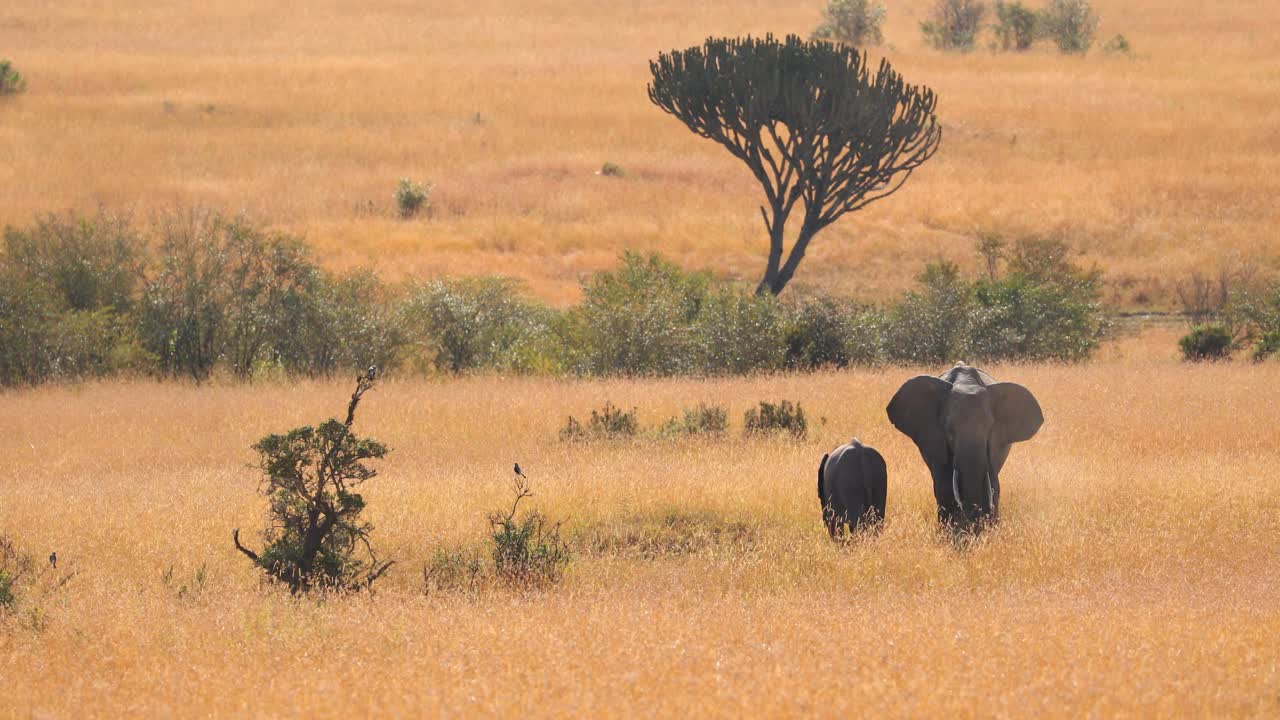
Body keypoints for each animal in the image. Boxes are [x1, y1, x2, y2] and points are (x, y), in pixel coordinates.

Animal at [886, 362, 1043, 530]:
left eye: (989, 429)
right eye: (949, 431)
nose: (972, 516)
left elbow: (993, 485)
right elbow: (944, 486)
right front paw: (950, 531)